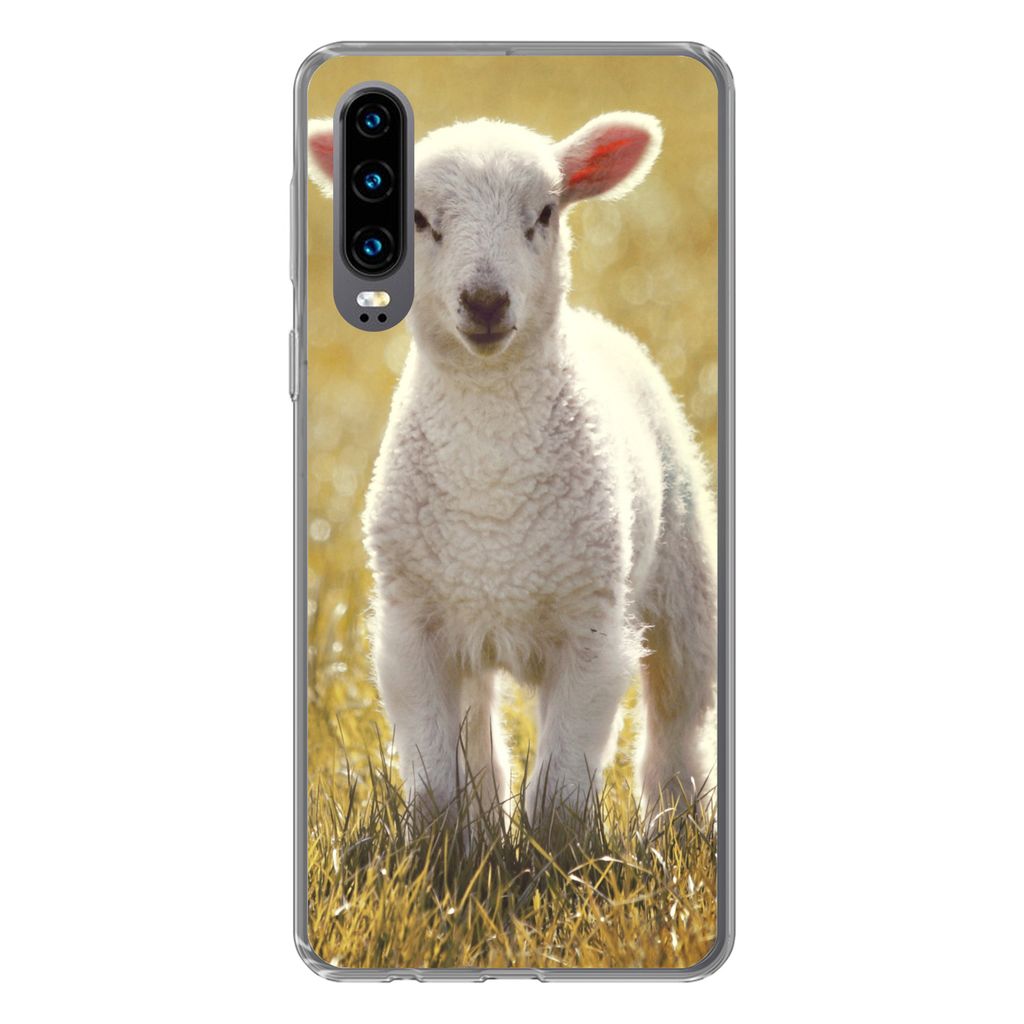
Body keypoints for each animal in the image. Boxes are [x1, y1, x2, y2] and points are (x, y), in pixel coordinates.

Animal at [308, 112, 717, 835]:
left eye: (546, 213)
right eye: (418, 219)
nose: (485, 301)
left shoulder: (592, 629)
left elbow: (559, 788)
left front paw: (560, 851)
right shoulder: (412, 627)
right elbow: (437, 777)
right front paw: (446, 844)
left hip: (681, 578)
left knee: (678, 718)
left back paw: (678, 821)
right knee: (477, 737)